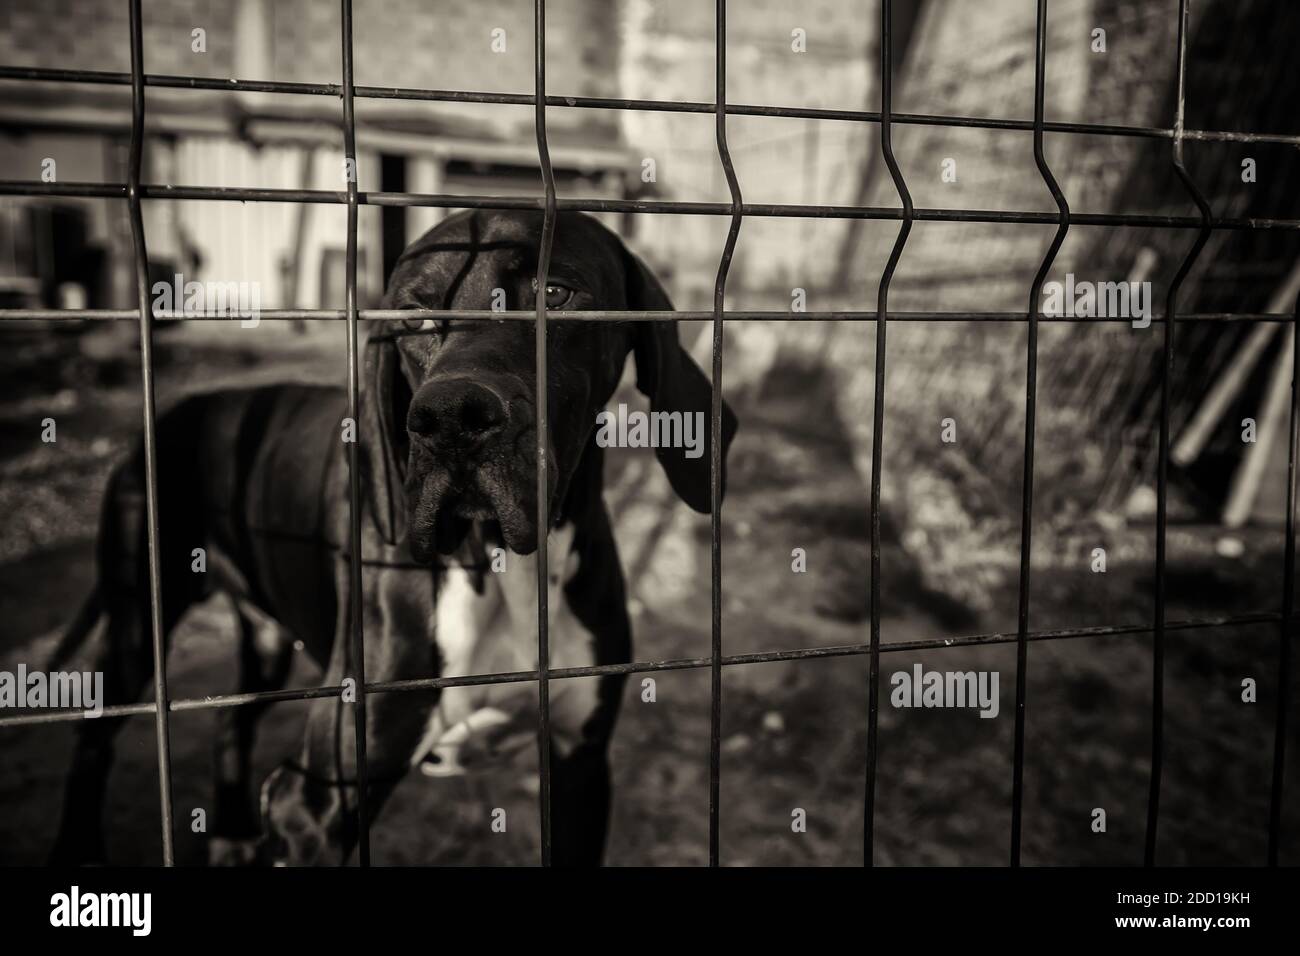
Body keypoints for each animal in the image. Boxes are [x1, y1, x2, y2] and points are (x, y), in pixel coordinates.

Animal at [45, 209, 738, 868]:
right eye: (412, 315)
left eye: (556, 293)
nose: (450, 419)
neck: (496, 566)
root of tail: (165, 419)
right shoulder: (316, 805)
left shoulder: (581, 768)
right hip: (138, 618)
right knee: (92, 737)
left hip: (265, 638)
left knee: (229, 719)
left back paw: (233, 832)